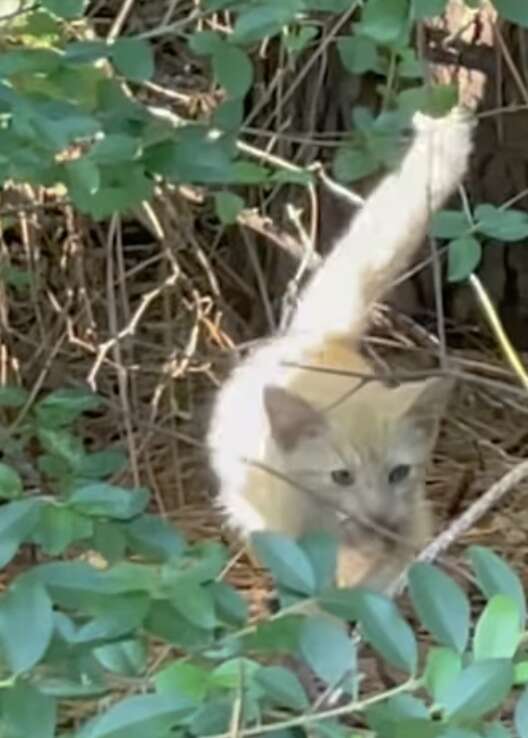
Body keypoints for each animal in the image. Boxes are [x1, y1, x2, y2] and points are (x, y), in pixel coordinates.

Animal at [206, 106, 474, 592]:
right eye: (341, 477)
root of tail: (320, 337)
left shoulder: (413, 519)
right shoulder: (287, 528)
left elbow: (396, 569)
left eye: (398, 472)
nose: (377, 517)